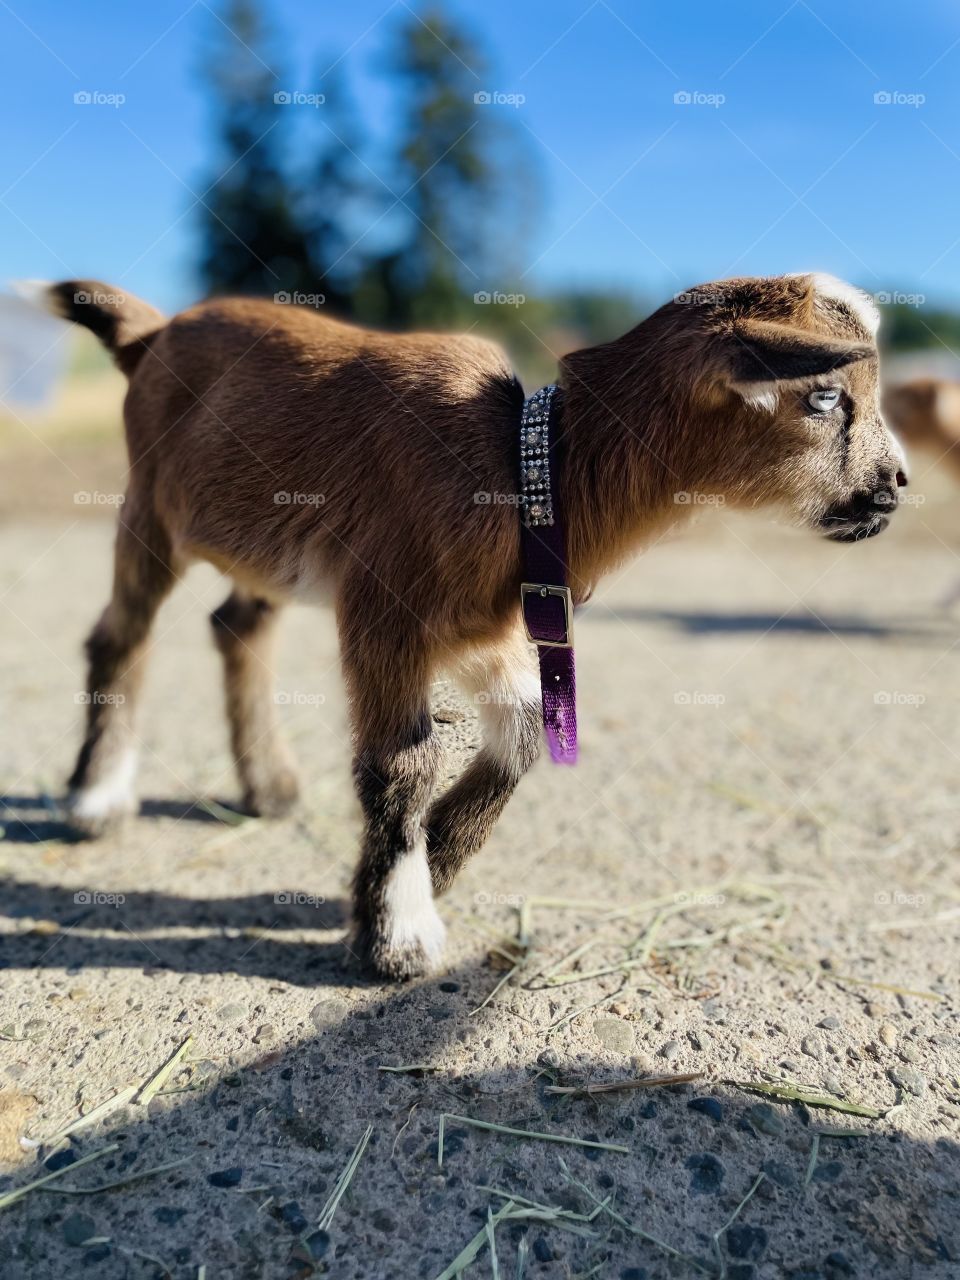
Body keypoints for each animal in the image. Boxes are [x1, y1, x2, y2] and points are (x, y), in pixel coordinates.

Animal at [33, 272, 906, 979]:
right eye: (824, 397)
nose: (896, 485)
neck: (522, 471)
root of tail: (152, 333)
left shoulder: (480, 627)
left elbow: (523, 731)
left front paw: (432, 866)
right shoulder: (384, 609)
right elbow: (403, 764)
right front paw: (399, 934)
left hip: (265, 549)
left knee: (233, 624)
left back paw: (268, 785)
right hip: (149, 506)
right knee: (123, 632)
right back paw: (98, 798)